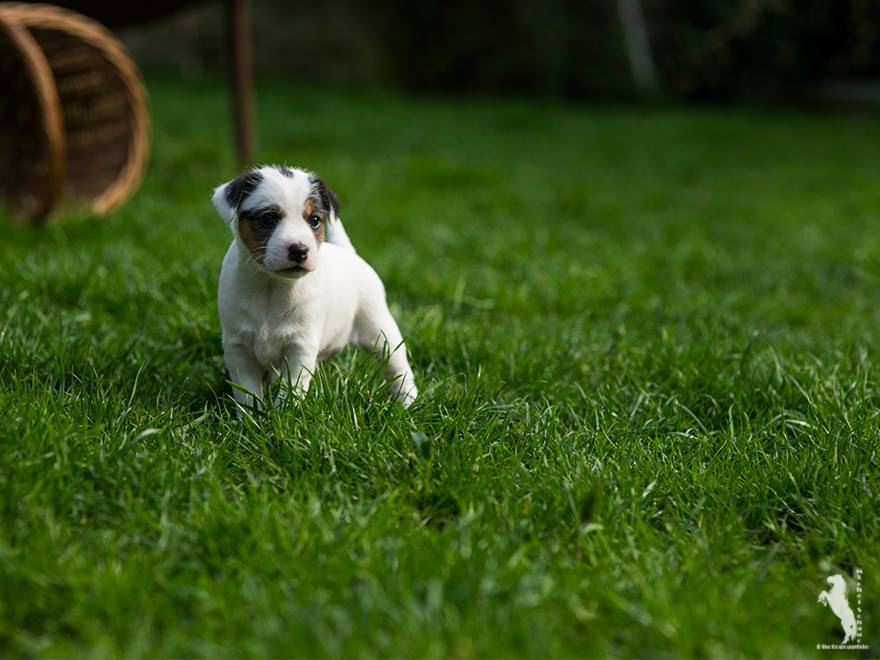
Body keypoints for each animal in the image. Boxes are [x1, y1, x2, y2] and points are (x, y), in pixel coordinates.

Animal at [213, 165, 420, 412]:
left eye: (314, 220)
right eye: (269, 218)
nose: (299, 250)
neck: (272, 286)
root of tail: (348, 253)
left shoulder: (300, 347)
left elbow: (291, 387)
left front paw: (286, 414)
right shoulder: (238, 348)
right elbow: (247, 391)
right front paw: (252, 416)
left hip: (380, 330)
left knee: (398, 366)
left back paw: (407, 400)